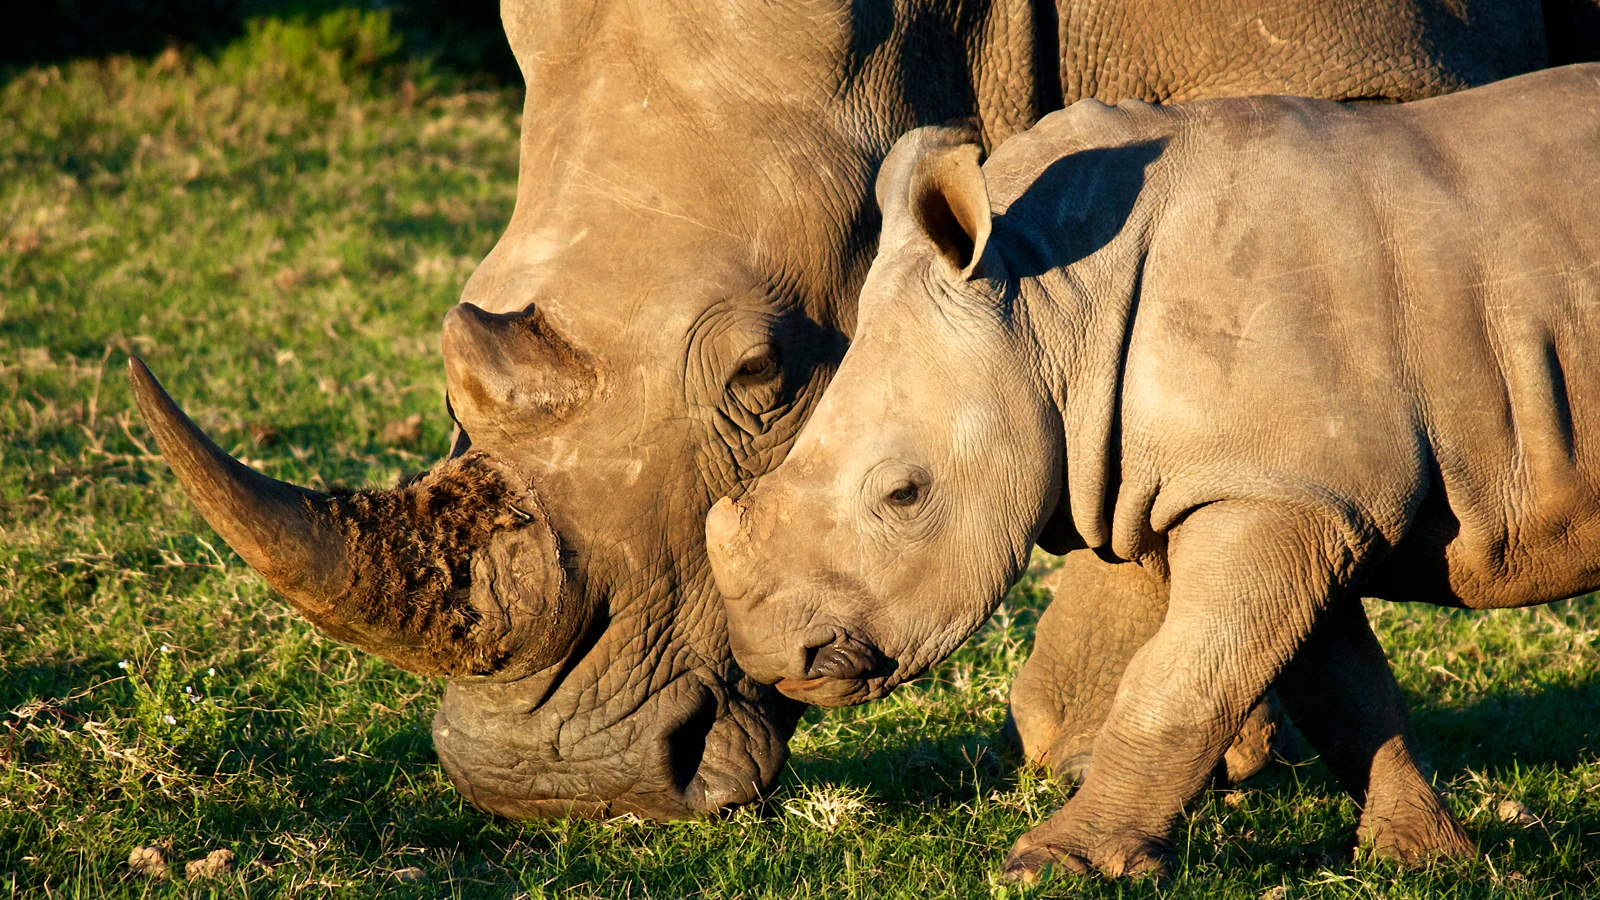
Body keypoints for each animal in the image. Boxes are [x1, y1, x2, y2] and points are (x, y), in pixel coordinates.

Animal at [705, 63, 1600, 874]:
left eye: (904, 494)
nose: (777, 659)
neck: (1051, 298)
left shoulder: (1281, 496)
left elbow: (1180, 678)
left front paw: (1054, 866)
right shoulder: (1295, 491)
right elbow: (1341, 688)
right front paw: (1424, 859)